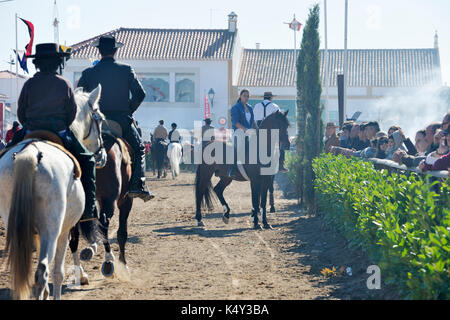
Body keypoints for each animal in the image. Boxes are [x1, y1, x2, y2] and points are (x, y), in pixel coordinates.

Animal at [0, 85, 104, 300]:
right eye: (99, 118)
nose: (102, 154)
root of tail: (31, 153)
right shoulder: (64, 230)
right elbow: (58, 272)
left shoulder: (38, 234)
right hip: (52, 228)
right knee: (42, 272)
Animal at [67, 136, 133, 282]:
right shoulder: (126, 200)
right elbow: (122, 232)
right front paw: (124, 265)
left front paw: (90, 248)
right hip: (111, 199)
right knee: (104, 222)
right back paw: (109, 261)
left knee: (74, 233)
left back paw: (81, 273)